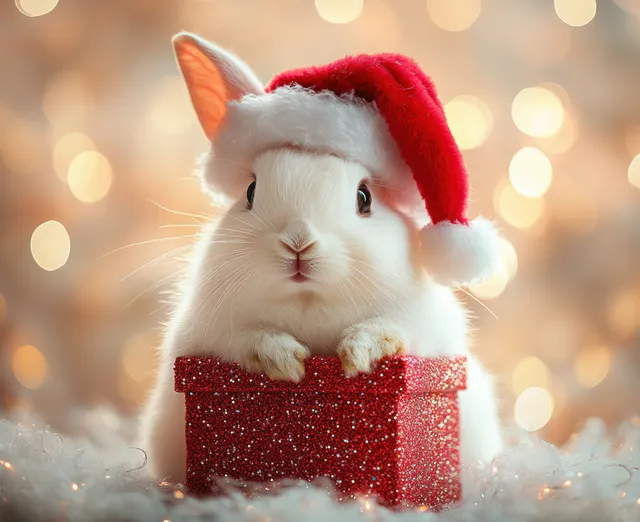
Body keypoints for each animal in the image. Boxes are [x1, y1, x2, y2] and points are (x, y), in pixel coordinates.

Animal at [139, 33, 503, 488]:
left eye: (364, 197)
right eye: (251, 192)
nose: (298, 242)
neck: (308, 302)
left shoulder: (428, 329)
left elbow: (394, 328)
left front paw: (360, 353)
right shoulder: (206, 334)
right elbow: (245, 338)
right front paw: (285, 361)